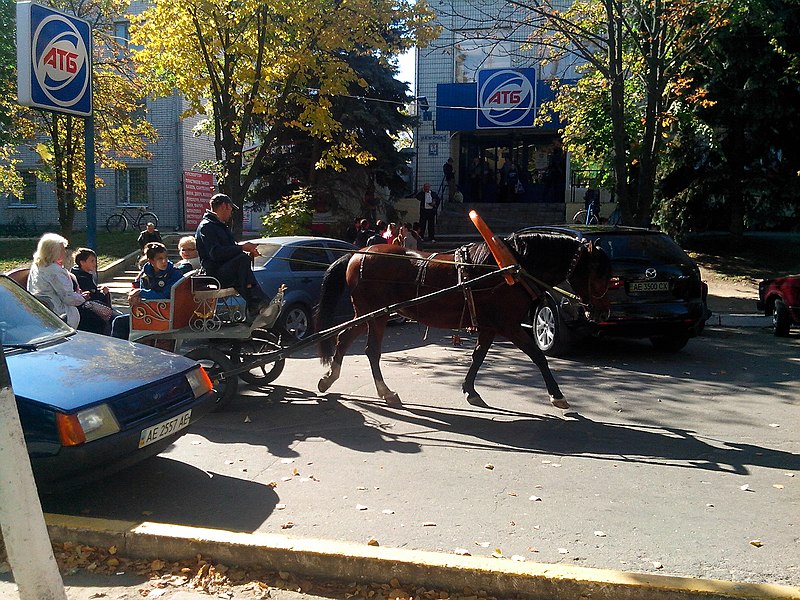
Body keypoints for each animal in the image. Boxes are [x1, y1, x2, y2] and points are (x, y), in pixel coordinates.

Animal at [316, 232, 608, 410]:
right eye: (598, 271)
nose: (602, 312)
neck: (508, 270)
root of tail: (358, 253)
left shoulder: (490, 327)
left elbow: (478, 356)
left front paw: (470, 389)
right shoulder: (509, 326)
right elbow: (538, 356)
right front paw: (557, 395)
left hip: (368, 314)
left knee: (344, 339)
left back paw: (330, 378)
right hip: (376, 315)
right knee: (371, 351)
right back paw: (385, 391)